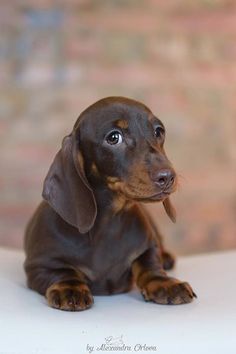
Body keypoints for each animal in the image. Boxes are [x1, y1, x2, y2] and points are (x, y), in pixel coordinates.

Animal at [24, 96, 196, 310]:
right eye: (114, 137)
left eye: (158, 131)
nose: (167, 176)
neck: (110, 223)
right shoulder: (39, 265)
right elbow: (62, 272)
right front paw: (69, 288)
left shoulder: (148, 248)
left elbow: (149, 265)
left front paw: (164, 283)